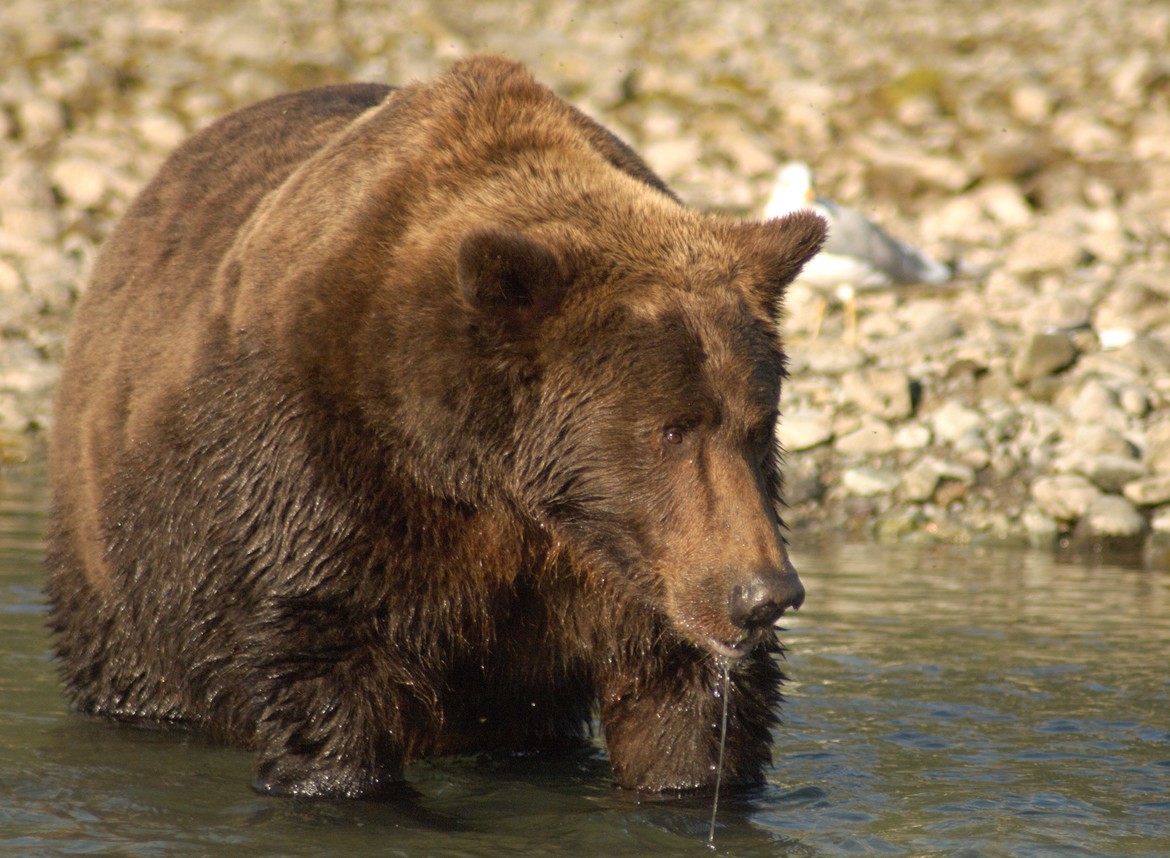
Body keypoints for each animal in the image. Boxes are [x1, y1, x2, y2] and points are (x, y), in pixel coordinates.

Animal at [45, 55, 825, 798]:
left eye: (759, 425)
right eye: (671, 429)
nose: (764, 594)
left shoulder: (636, 572)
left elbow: (685, 711)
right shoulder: (327, 474)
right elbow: (327, 677)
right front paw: (343, 781)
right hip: (127, 562)